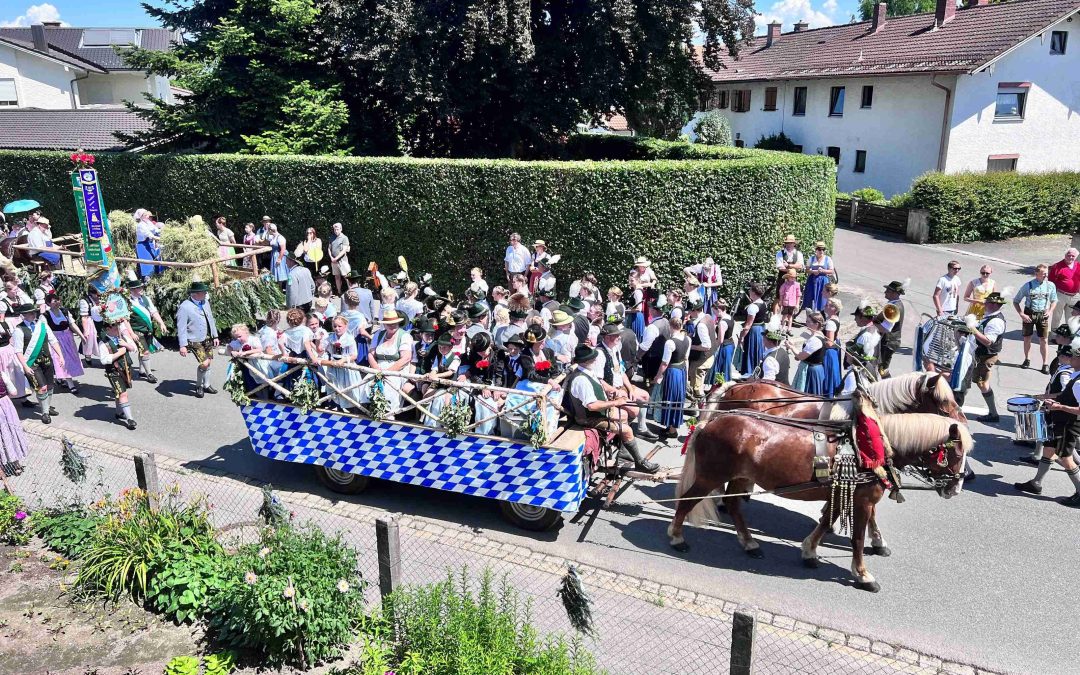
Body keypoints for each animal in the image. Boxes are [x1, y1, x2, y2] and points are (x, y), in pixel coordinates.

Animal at [665, 410, 972, 587]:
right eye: (956, 453)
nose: (956, 487)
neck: (868, 449)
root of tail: (710, 422)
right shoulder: (863, 502)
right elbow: (856, 538)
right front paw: (862, 574)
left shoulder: (841, 493)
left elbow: (826, 522)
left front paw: (809, 551)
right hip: (710, 476)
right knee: (687, 501)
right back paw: (677, 537)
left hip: (740, 477)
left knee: (732, 503)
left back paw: (750, 543)